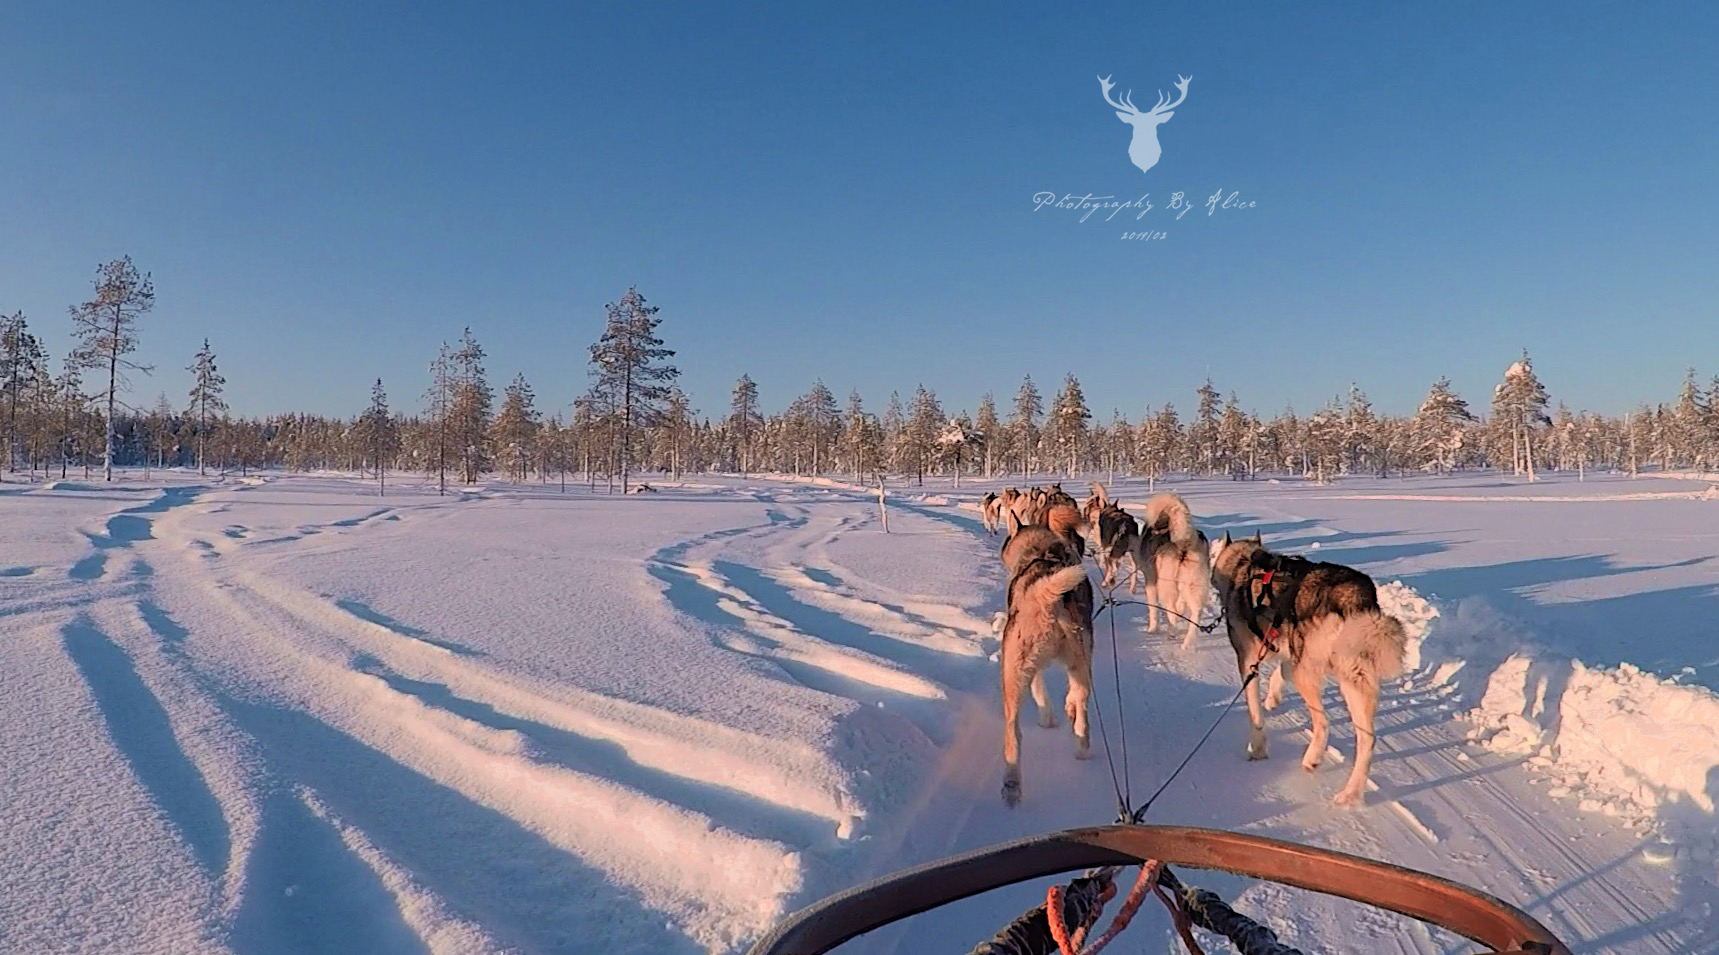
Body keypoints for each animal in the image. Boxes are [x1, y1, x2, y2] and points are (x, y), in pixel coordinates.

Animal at [997, 522, 1086, 807]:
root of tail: (1045, 601)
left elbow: (1039, 691)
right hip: (1080, 660)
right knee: (1081, 701)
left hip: (1012, 673)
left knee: (1012, 730)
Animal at [1134, 491, 1217, 649]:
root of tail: (1183, 542)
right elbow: (1181, 605)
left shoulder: (1151, 582)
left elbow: (1153, 609)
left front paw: (1153, 628)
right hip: (1193, 584)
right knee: (1196, 612)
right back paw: (1188, 643)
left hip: (1166, 585)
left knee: (1171, 611)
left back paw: (1172, 633)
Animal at [1210, 532, 1409, 810]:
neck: (1244, 564)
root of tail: (1352, 597)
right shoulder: (1289, 650)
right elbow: (1281, 672)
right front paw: (1273, 697)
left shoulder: (1250, 662)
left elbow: (1255, 713)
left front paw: (1257, 749)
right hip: (1353, 680)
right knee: (1367, 740)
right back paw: (1350, 794)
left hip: (1309, 674)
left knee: (1323, 723)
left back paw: (1313, 758)